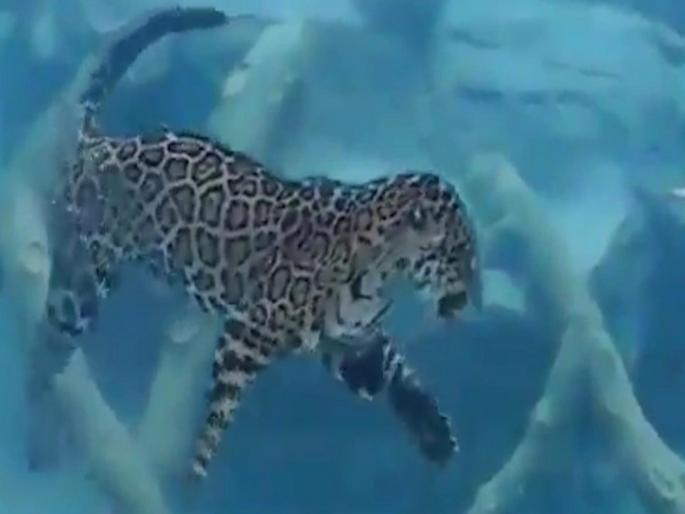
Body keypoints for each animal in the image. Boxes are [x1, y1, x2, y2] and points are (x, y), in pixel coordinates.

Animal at [45, 5, 482, 479]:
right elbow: (220, 409)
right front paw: (195, 472)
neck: (384, 275)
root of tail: (101, 143)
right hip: (83, 282)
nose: (471, 302)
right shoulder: (245, 334)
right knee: (55, 327)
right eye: (459, 255)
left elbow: (395, 372)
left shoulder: (356, 339)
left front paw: (432, 432)